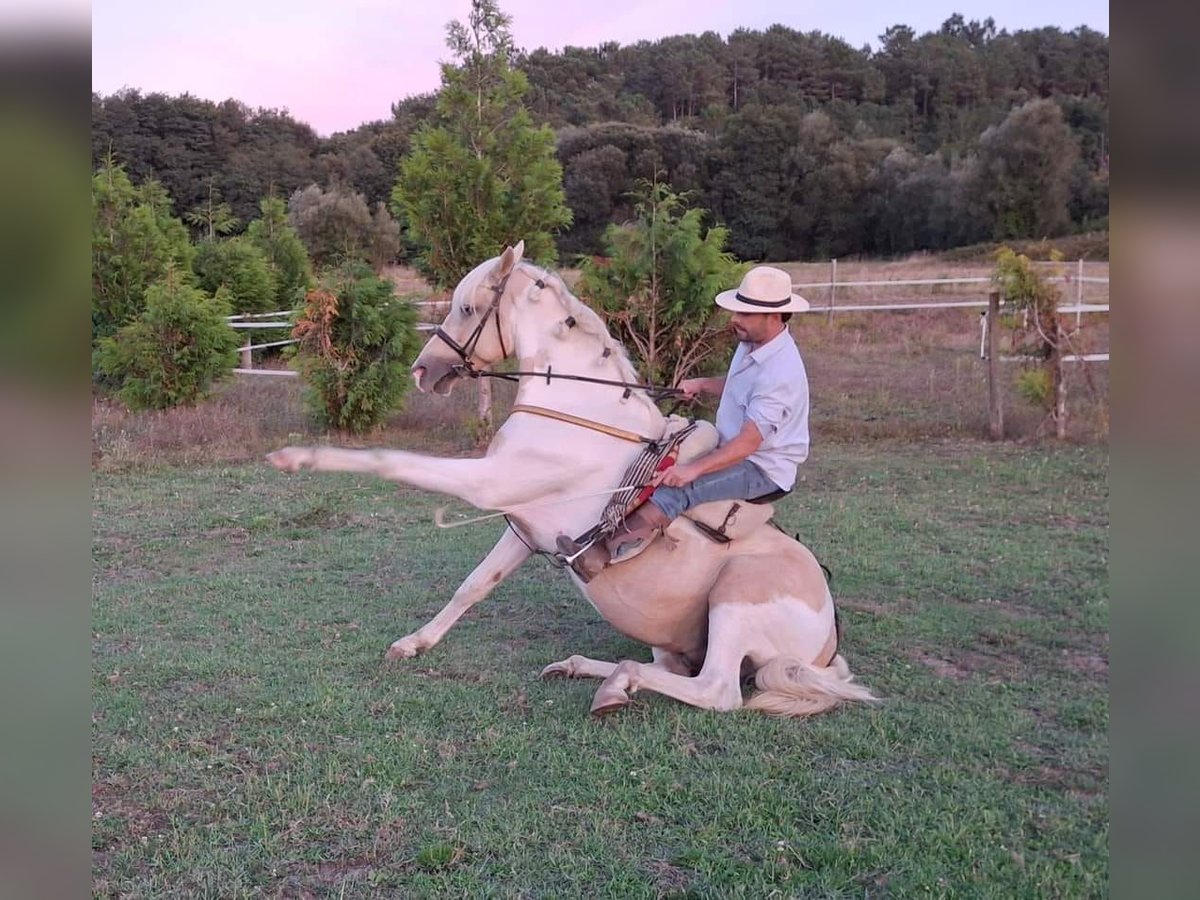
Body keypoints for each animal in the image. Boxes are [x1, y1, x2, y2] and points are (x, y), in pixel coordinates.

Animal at [267, 241, 878, 720]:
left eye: (467, 307)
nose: (423, 370)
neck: (573, 406)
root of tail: (826, 644)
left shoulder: (489, 484)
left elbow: (393, 462)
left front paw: (296, 458)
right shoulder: (520, 527)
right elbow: (474, 585)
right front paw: (413, 645)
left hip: (733, 605)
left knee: (718, 690)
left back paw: (617, 684)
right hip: (668, 633)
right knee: (674, 669)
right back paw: (579, 668)